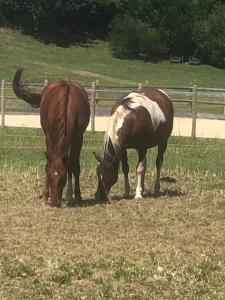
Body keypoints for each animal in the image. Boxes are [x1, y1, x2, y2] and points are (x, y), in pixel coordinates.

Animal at [12, 69, 89, 207]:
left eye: (63, 178)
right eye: (49, 176)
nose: (54, 202)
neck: (67, 107)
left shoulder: (78, 137)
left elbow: (74, 165)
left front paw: (78, 196)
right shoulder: (49, 135)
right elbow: (49, 161)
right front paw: (45, 196)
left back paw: (69, 196)